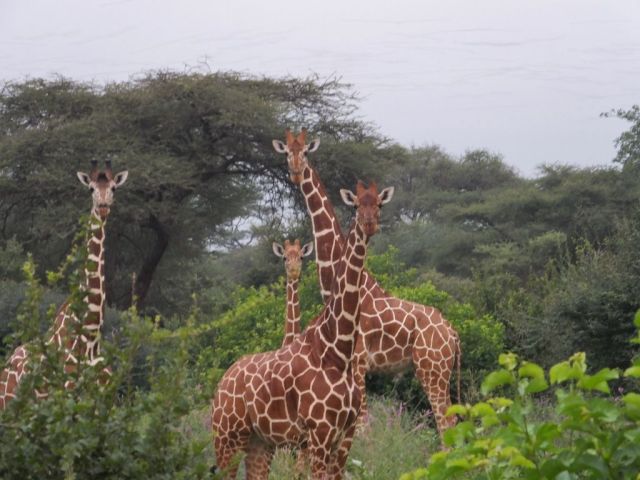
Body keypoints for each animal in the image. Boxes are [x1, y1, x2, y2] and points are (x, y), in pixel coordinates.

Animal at [0, 160, 128, 409]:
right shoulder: (68, 399)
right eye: (91, 189)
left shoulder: (104, 402)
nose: (103, 206)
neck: (89, 337)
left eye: (114, 187)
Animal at [211, 181, 394, 479]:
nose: (369, 223)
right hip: (227, 437)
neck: (337, 350)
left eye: (379, 204)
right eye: (356, 204)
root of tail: (222, 382)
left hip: (260, 442)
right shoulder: (319, 434)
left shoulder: (342, 436)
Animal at [273, 129, 462, 437]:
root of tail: (453, 333)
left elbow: (362, 425)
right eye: (287, 152)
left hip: (432, 369)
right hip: (438, 370)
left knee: (446, 420)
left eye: (306, 152)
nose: (297, 172)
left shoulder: (359, 362)